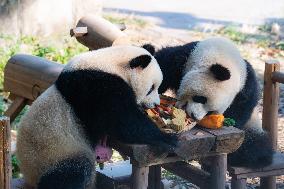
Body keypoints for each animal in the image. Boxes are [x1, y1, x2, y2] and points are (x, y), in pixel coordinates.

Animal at [15, 45, 176, 188]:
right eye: (151, 88)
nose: (155, 104)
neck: (111, 63)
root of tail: (28, 174)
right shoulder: (97, 87)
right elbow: (122, 122)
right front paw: (168, 138)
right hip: (55, 153)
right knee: (72, 174)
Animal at [145, 37, 274, 168]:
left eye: (210, 111)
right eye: (200, 98)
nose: (194, 116)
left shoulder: (245, 90)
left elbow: (239, 112)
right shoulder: (181, 59)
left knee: (256, 146)